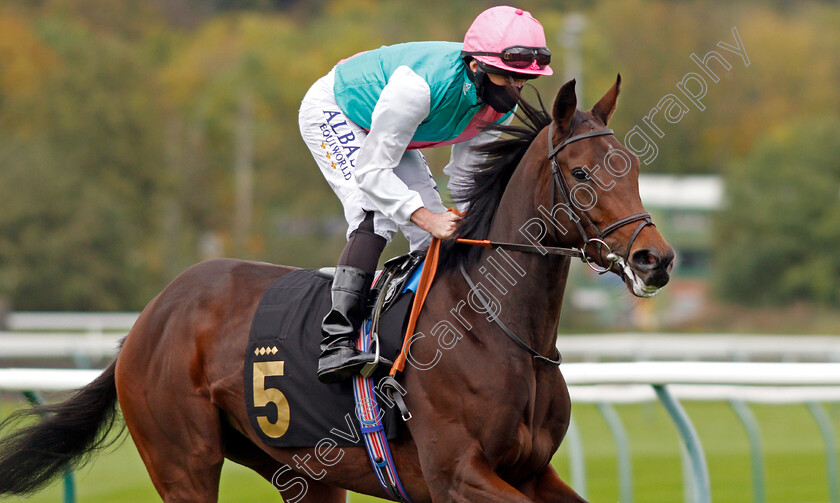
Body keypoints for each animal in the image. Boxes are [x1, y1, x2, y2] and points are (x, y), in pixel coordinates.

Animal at [0, 76, 672, 503]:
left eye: (637, 167)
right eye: (581, 173)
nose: (656, 258)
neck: (495, 325)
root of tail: (147, 319)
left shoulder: (531, 471)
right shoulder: (458, 475)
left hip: (304, 472)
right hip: (183, 465)